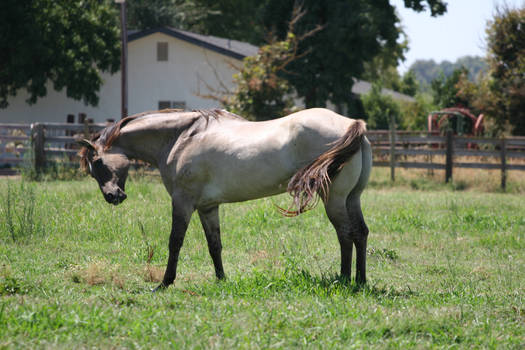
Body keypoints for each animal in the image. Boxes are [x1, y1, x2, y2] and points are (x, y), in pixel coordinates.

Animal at [79, 108, 372, 290]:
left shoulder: (183, 202)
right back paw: (360, 280)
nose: (112, 197)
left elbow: (175, 242)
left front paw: (164, 283)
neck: (181, 138)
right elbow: (214, 245)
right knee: (360, 232)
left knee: (345, 234)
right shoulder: (208, 207)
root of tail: (351, 124)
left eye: (99, 163)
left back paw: (344, 279)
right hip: (352, 199)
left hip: (335, 200)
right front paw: (221, 279)